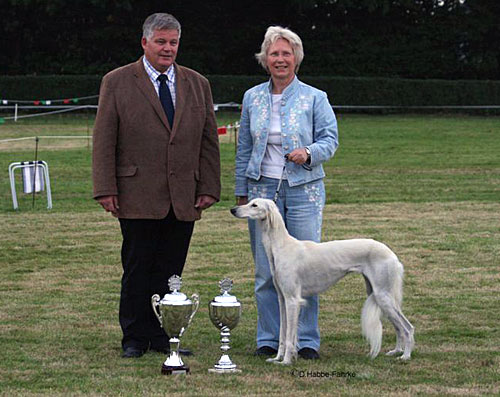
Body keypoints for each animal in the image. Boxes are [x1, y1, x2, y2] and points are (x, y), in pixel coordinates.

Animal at [230, 198, 414, 366]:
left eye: (254, 205)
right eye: (249, 201)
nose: (233, 209)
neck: (281, 247)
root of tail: (392, 254)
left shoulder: (293, 300)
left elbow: (289, 336)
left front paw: (286, 361)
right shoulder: (282, 299)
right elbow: (283, 333)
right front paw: (277, 358)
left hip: (382, 295)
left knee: (407, 327)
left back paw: (405, 356)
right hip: (378, 294)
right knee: (399, 326)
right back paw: (396, 351)